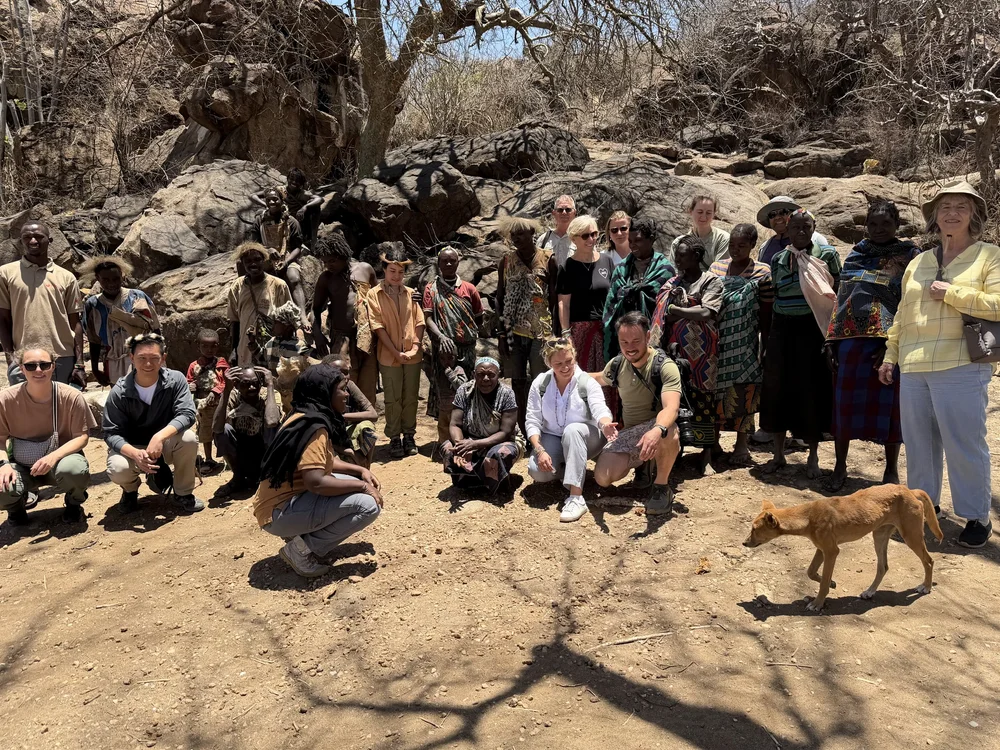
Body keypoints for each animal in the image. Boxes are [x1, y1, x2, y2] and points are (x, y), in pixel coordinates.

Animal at [743, 484, 944, 611]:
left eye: (754, 529)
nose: (744, 543)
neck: (808, 515)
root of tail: (909, 489)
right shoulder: (821, 549)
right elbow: (811, 572)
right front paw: (832, 583)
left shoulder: (832, 551)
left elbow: (823, 582)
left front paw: (818, 603)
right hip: (879, 536)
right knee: (883, 567)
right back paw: (870, 592)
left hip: (911, 537)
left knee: (929, 561)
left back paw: (926, 587)